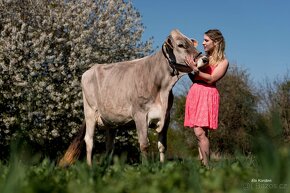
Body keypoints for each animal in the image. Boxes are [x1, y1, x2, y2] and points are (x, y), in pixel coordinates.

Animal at [59, 29, 208, 167]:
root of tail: (90, 69)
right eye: (181, 45)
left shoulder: (166, 116)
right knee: (89, 141)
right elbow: (144, 144)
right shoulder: (140, 114)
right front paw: (146, 167)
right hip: (90, 112)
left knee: (109, 146)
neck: (163, 89)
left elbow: (162, 146)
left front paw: (161, 165)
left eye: (191, 43)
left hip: (110, 121)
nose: (204, 59)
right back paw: (90, 167)